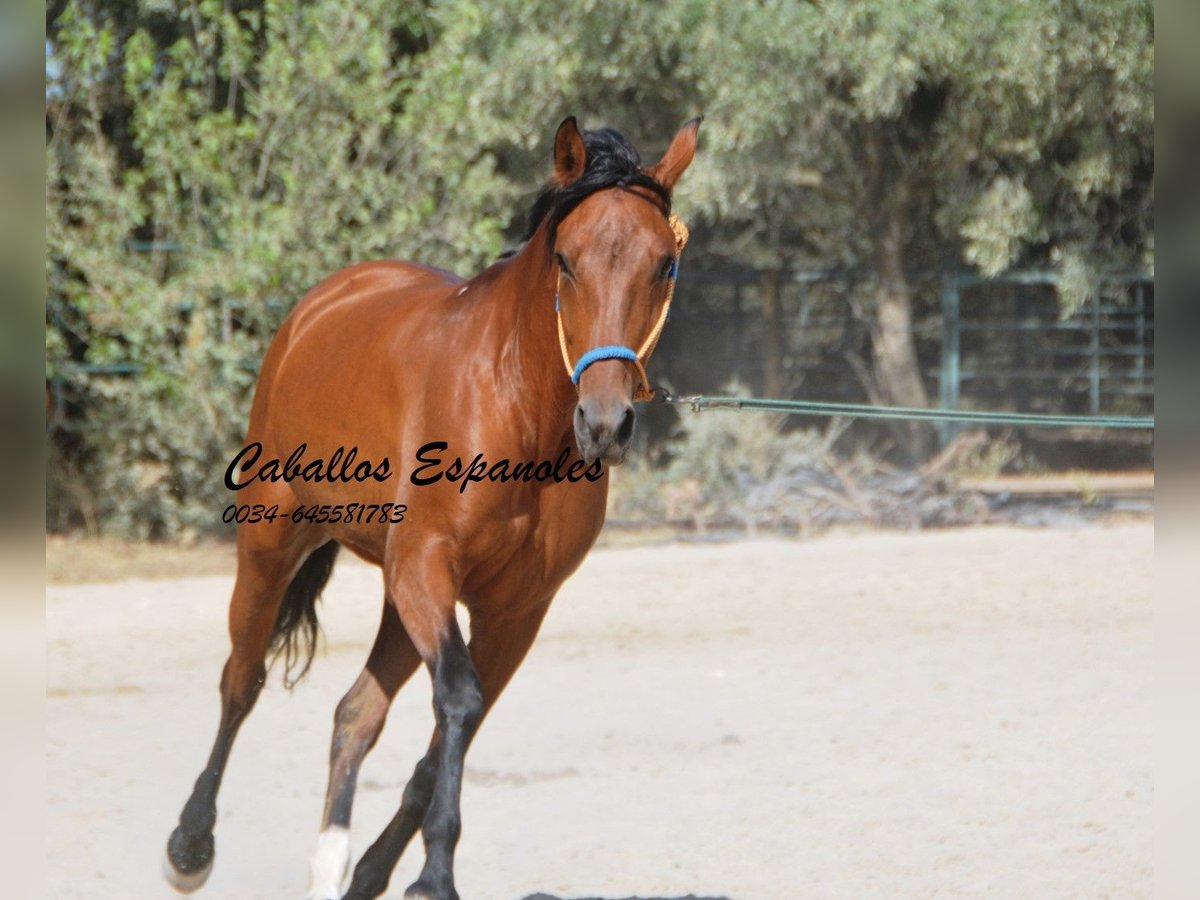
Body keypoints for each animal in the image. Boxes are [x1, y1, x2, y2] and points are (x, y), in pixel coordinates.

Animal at [164, 118, 700, 900]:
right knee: (243, 678)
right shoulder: (427, 567)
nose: (604, 423)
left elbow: (454, 726)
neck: (518, 409)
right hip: (274, 541)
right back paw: (190, 843)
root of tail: (324, 301)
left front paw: (391, 875)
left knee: (356, 712)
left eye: (664, 264)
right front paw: (433, 877)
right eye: (565, 260)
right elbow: (458, 700)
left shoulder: (516, 608)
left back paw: (333, 865)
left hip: (398, 594)